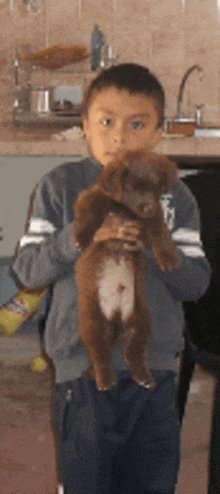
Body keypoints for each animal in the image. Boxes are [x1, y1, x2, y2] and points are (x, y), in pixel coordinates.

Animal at [72, 150, 180, 390]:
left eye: (155, 188)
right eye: (132, 188)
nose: (147, 206)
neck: (126, 210)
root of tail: (117, 319)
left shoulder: (154, 216)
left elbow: (161, 234)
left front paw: (168, 258)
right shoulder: (94, 197)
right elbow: (90, 213)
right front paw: (81, 237)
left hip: (140, 323)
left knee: (133, 354)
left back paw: (143, 377)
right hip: (93, 322)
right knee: (100, 354)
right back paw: (105, 380)